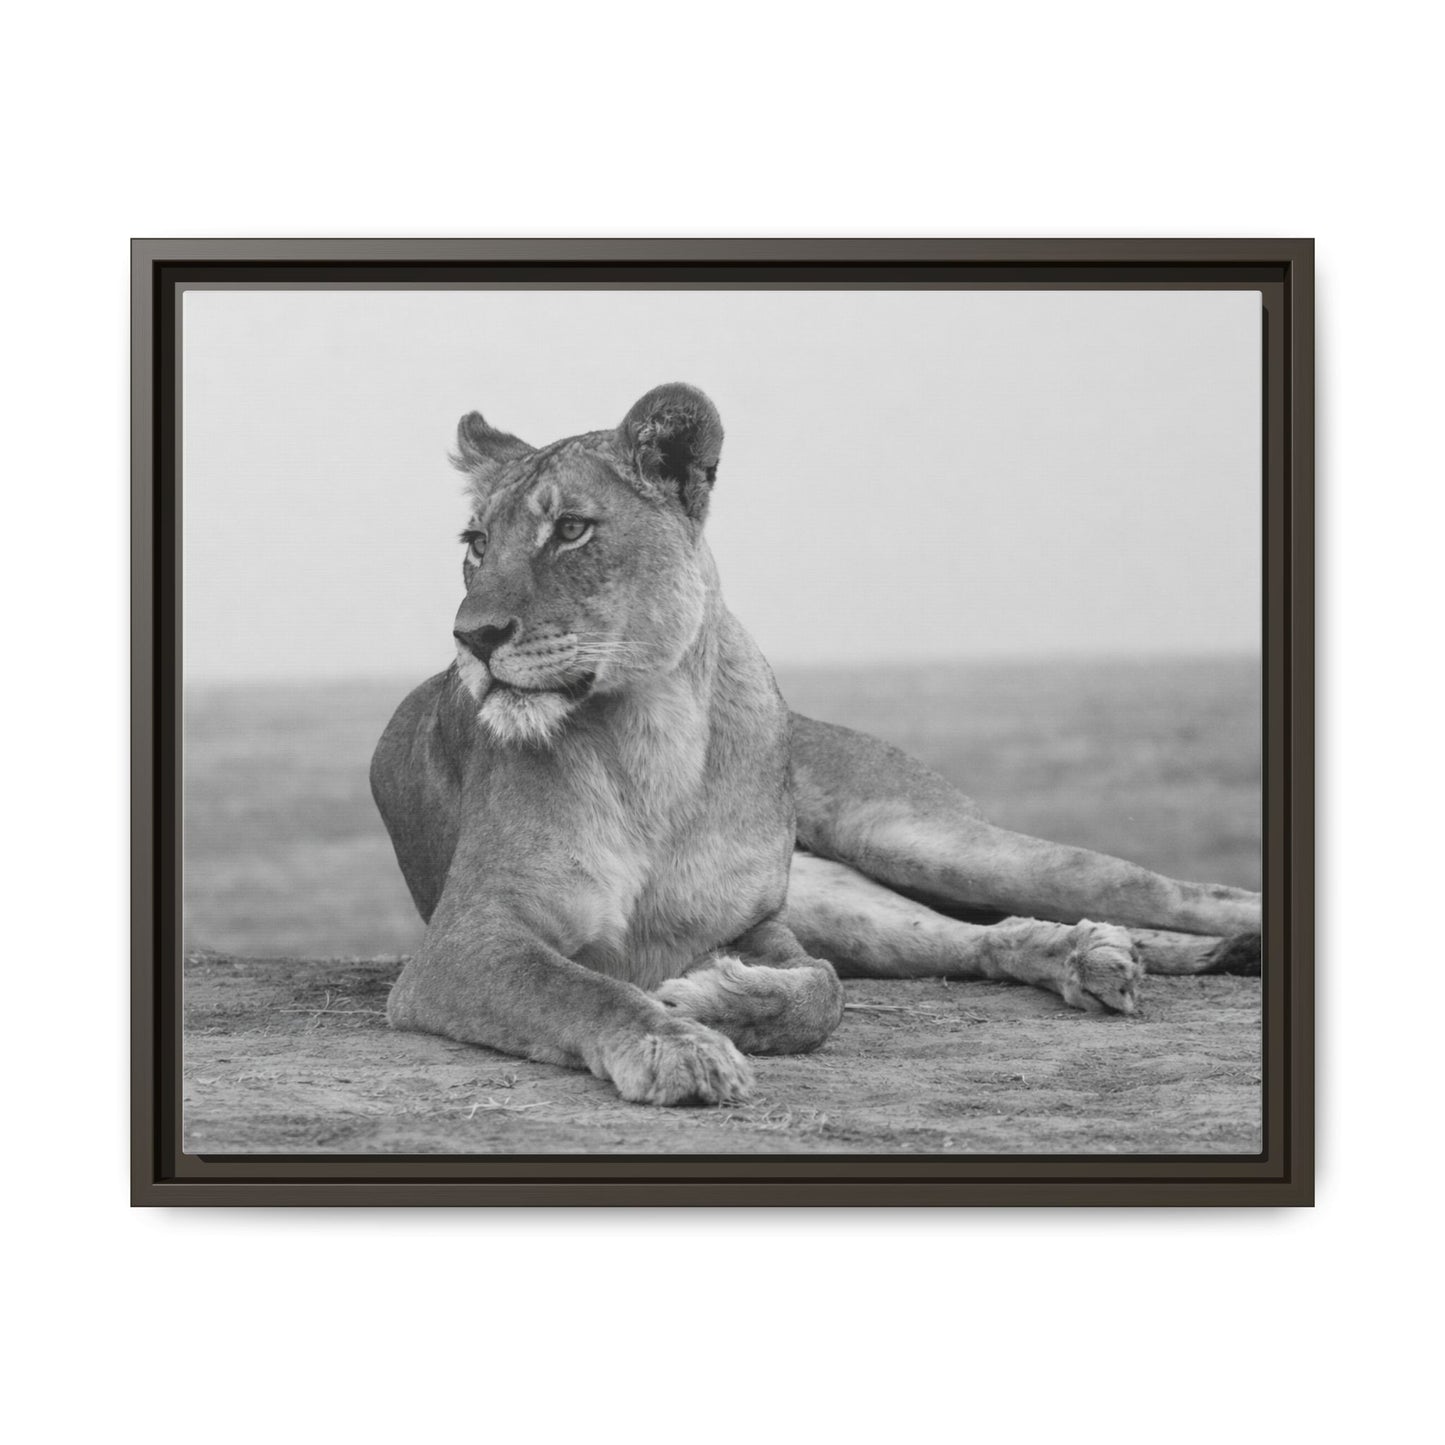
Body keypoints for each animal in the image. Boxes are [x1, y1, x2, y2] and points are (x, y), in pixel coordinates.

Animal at [371, 383, 1261, 1106]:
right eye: (476, 543)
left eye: (570, 530)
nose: (472, 637)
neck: (650, 739)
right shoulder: (465, 941)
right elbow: (583, 988)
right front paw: (677, 1045)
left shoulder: (759, 924)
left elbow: (820, 994)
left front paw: (705, 1000)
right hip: (848, 897)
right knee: (978, 937)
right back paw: (1091, 955)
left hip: (913, 837)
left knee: (1174, 890)